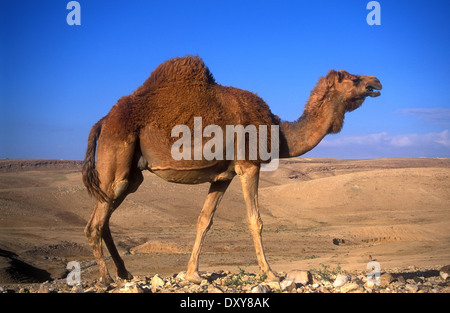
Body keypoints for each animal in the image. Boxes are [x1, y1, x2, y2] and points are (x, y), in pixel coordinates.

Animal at [81, 56, 380, 282]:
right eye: (354, 78)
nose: (376, 81)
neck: (278, 132)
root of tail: (103, 120)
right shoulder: (249, 165)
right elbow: (255, 220)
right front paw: (270, 273)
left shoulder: (222, 175)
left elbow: (204, 220)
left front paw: (193, 274)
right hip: (117, 159)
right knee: (95, 223)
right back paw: (106, 278)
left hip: (132, 174)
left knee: (106, 217)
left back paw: (124, 273)